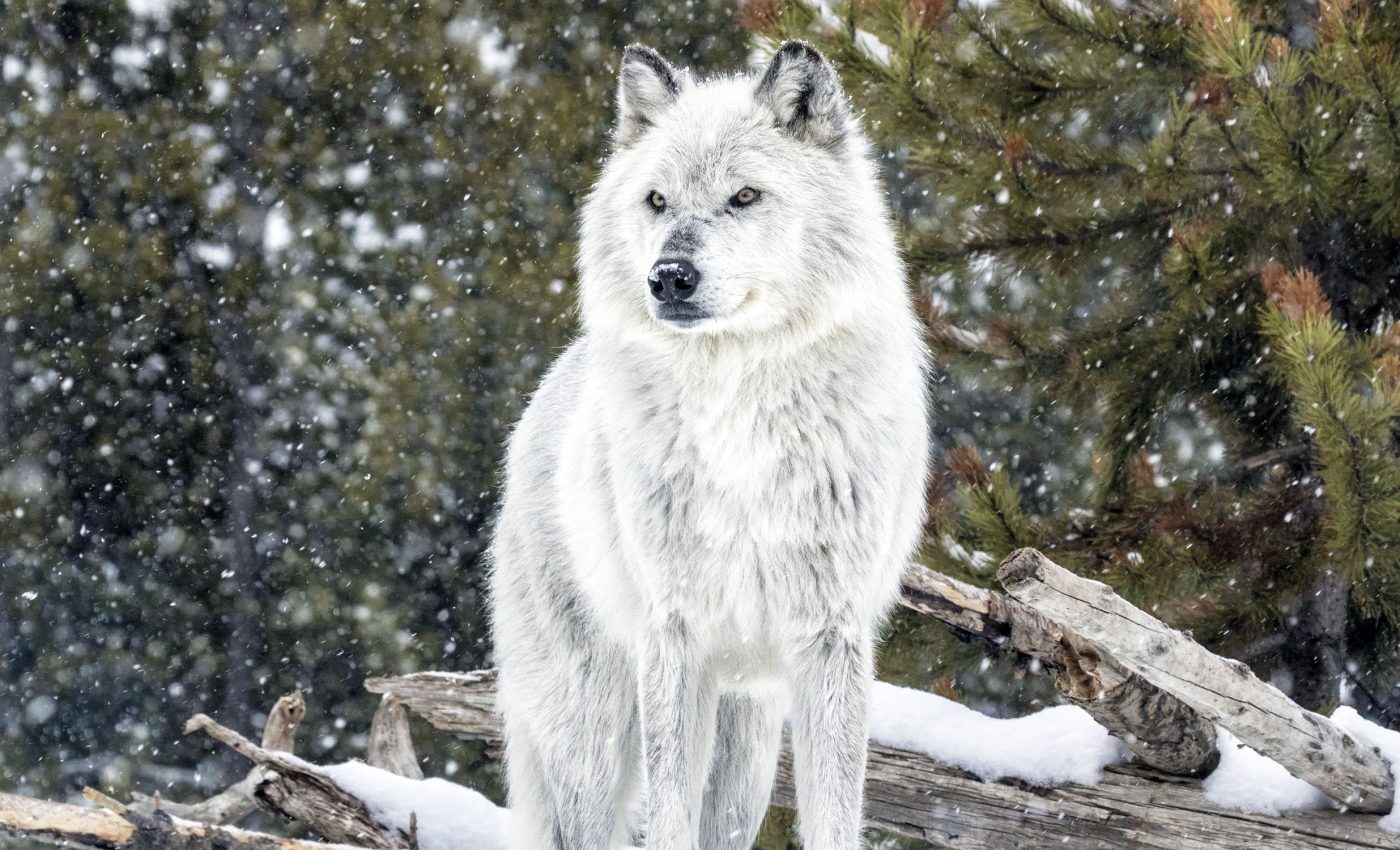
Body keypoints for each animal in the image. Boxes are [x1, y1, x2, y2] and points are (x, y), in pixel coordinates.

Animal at [488, 41, 929, 850]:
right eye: (658, 201)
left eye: (745, 197)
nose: (669, 276)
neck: (738, 416)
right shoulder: (676, 634)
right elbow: (666, 816)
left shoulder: (830, 638)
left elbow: (834, 812)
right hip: (593, 727)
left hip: (747, 743)